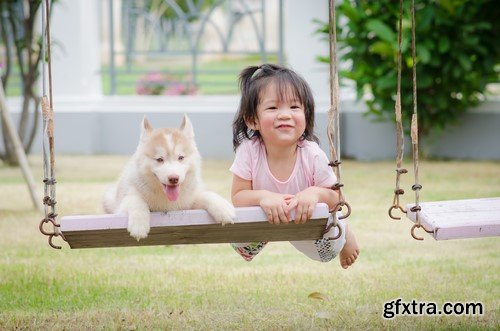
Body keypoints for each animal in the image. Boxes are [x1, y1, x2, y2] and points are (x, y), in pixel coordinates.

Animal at [103, 116, 236, 241]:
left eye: (181, 157)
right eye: (159, 159)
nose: (174, 178)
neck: (167, 200)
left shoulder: (188, 203)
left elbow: (207, 195)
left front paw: (223, 208)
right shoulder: (124, 202)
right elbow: (135, 201)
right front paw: (139, 225)